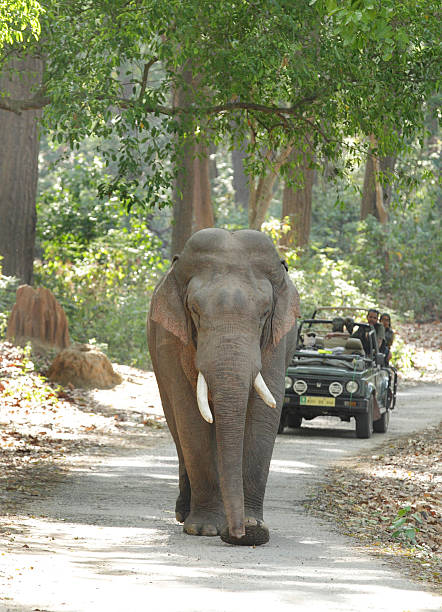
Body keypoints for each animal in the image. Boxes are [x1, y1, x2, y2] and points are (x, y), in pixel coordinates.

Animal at [147, 227, 298, 544]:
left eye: (264, 313)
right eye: (194, 310)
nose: (238, 534)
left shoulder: (277, 343)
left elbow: (264, 415)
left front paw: (254, 527)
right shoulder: (172, 340)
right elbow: (191, 417)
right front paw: (204, 529)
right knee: (176, 426)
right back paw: (184, 514)